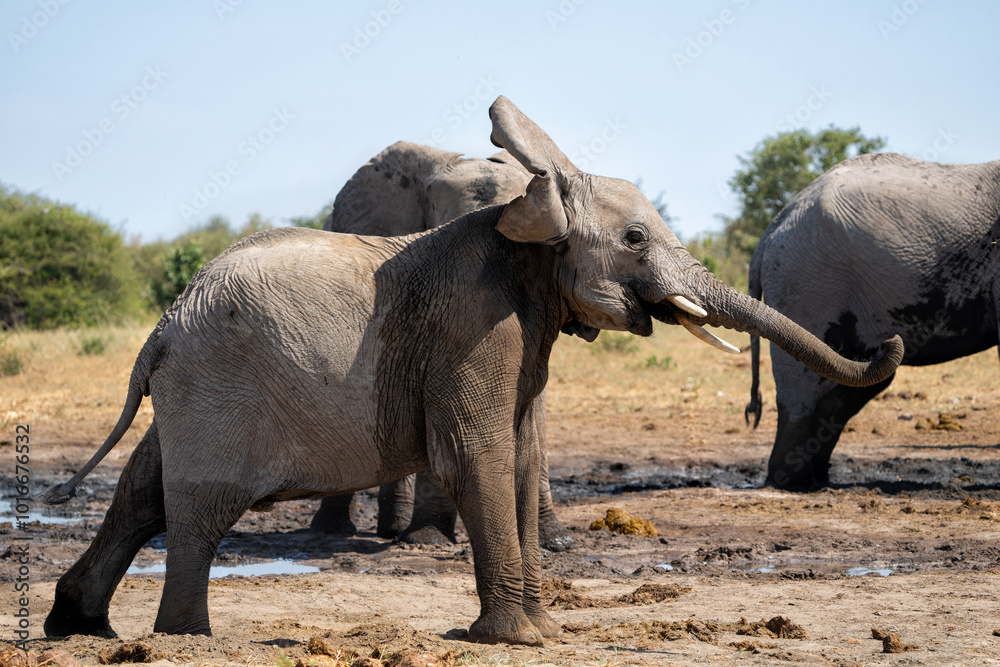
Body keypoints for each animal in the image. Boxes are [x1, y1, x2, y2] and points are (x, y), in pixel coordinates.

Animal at [745, 152, 999, 490]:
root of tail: (771, 230)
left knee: (845, 387)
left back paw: (817, 479)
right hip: (808, 283)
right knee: (806, 388)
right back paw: (793, 483)